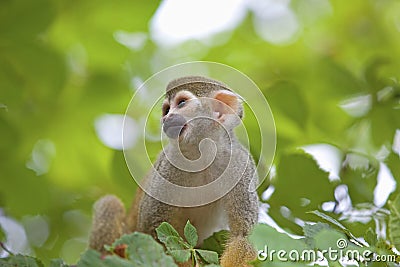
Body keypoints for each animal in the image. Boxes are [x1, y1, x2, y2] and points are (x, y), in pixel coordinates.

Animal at [89, 76, 260, 267]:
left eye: (182, 103)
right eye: (166, 110)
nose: (167, 118)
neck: (203, 155)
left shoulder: (241, 164)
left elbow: (242, 236)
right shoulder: (169, 163)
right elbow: (153, 227)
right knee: (110, 203)